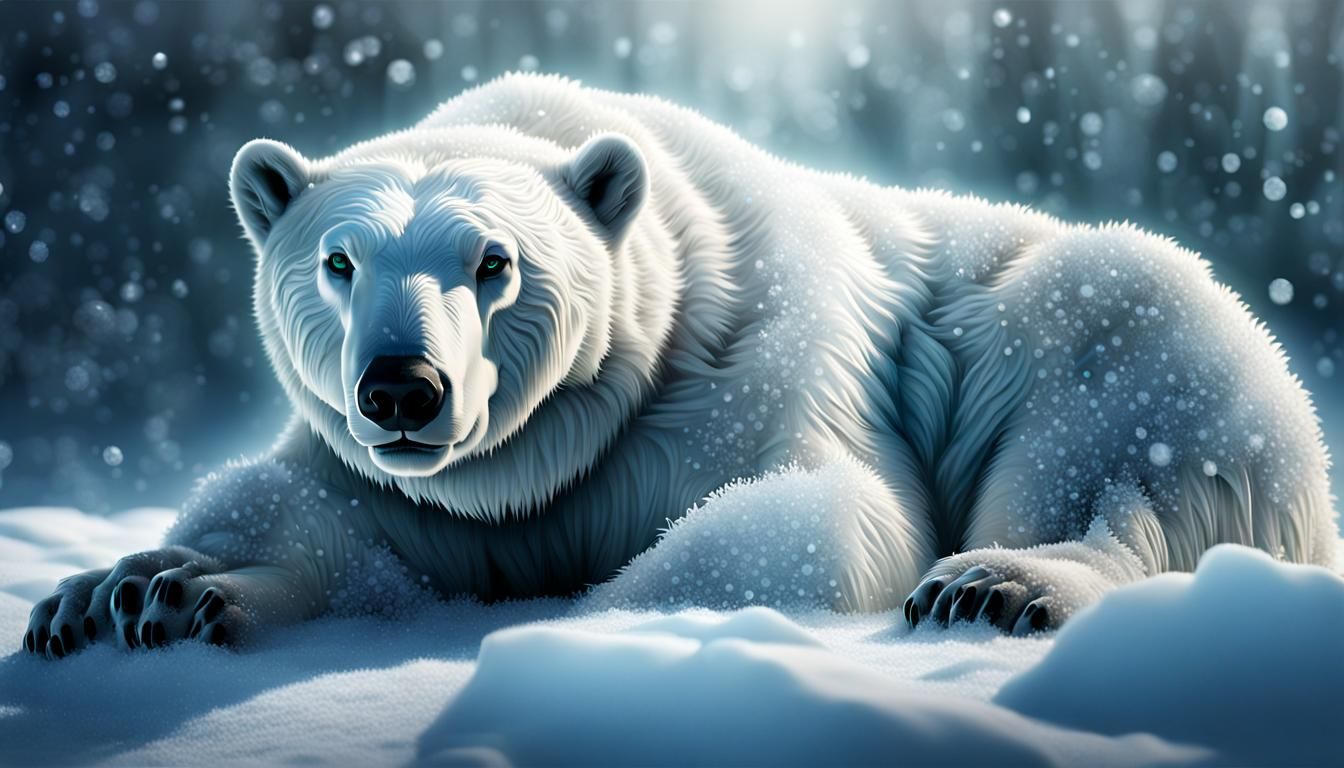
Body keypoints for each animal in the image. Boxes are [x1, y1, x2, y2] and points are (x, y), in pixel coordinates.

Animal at [23, 73, 1335, 657]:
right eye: (340, 262)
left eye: (494, 262)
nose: (402, 386)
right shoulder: (401, 475)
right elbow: (328, 524)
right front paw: (140, 588)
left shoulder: (753, 365)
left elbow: (816, 522)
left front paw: (585, 619)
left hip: (1134, 331)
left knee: (1115, 439)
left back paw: (1002, 581)